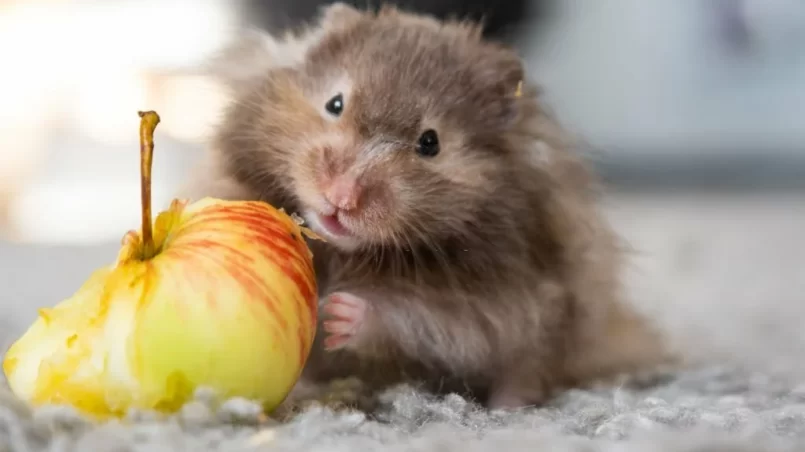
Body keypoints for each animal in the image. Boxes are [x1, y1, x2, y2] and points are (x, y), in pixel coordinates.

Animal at [185, 1, 676, 410]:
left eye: (430, 143)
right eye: (334, 103)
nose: (341, 198)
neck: (349, 252)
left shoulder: (495, 300)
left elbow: (419, 317)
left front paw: (338, 311)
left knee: (526, 369)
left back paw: (509, 409)